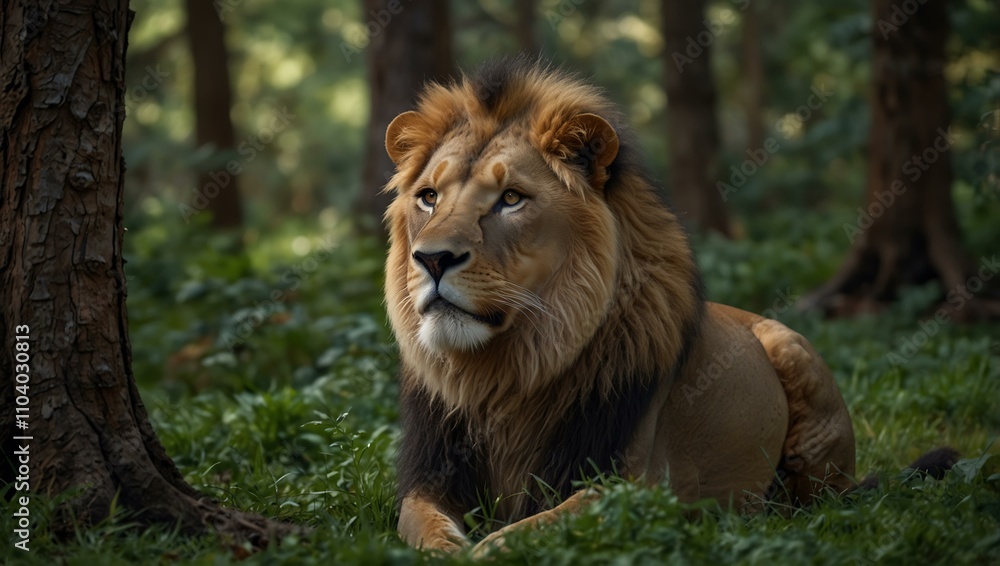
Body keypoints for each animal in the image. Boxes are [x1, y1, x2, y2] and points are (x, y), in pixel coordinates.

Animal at [379, 57, 893, 554]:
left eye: (511, 199)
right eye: (429, 198)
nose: (432, 258)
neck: (506, 375)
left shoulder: (632, 486)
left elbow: (526, 531)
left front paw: (487, 547)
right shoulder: (429, 479)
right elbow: (423, 524)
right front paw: (448, 547)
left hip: (797, 366)